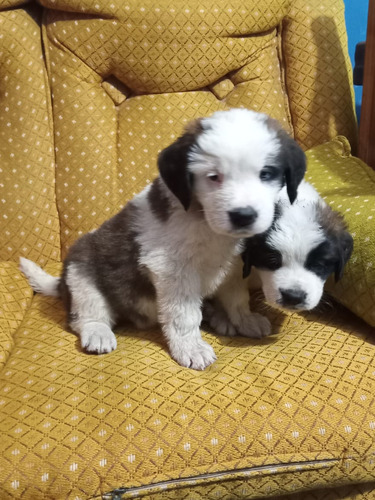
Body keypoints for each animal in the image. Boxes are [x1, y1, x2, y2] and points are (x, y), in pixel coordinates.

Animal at [19, 107, 306, 370]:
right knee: (86, 314)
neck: (206, 223)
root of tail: (62, 284)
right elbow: (185, 316)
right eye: (213, 177)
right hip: (81, 276)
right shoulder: (173, 271)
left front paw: (244, 319)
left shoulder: (231, 268)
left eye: (266, 174)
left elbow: (237, 298)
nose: (243, 215)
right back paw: (98, 332)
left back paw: (219, 317)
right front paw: (191, 347)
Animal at [206, 181, 356, 340]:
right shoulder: (232, 271)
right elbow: (236, 298)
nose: (293, 297)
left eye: (318, 266)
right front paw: (247, 321)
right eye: (272, 262)